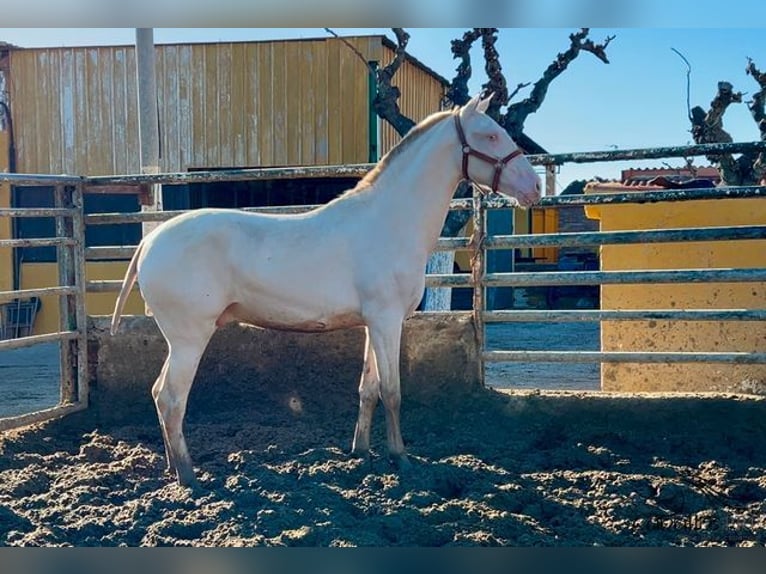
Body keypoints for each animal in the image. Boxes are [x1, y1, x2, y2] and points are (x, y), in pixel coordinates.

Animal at [111, 93, 544, 486]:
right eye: (490, 135)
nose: (536, 187)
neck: (389, 221)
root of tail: (150, 243)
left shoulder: (373, 324)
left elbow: (368, 389)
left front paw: (361, 451)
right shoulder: (387, 322)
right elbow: (392, 391)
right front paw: (400, 459)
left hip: (179, 341)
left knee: (159, 394)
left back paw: (173, 468)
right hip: (189, 339)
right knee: (171, 398)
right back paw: (189, 477)